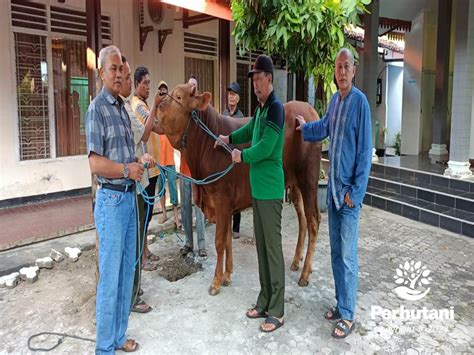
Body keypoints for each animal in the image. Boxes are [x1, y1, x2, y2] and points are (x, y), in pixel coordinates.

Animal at [156, 83, 322, 294]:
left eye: (178, 96)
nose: (157, 105)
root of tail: (308, 108)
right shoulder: (224, 206)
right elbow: (227, 240)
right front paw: (227, 275)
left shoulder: (221, 200)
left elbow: (220, 242)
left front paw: (216, 282)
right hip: (295, 184)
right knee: (303, 219)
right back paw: (295, 261)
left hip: (309, 180)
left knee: (314, 221)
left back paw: (305, 274)